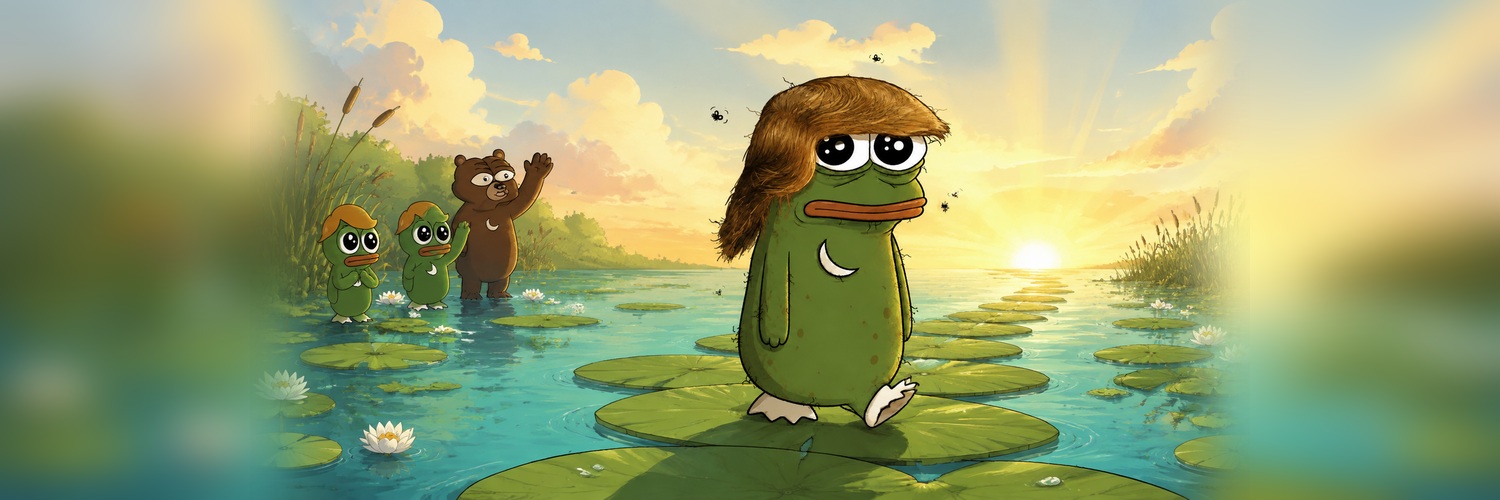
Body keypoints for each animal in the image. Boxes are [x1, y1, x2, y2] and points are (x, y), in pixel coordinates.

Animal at [450, 148, 554, 299]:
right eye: (484, 179)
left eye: (505, 175)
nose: (500, 185)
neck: (489, 209)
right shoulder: (463, 213)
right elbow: (455, 226)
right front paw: (463, 248)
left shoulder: (506, 209)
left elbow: (525, 198)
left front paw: (538, 167)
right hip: (470, 272)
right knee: (471, 281)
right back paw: (471, 296)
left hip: (503, 275)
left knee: (500, 282)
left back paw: (499, 294)